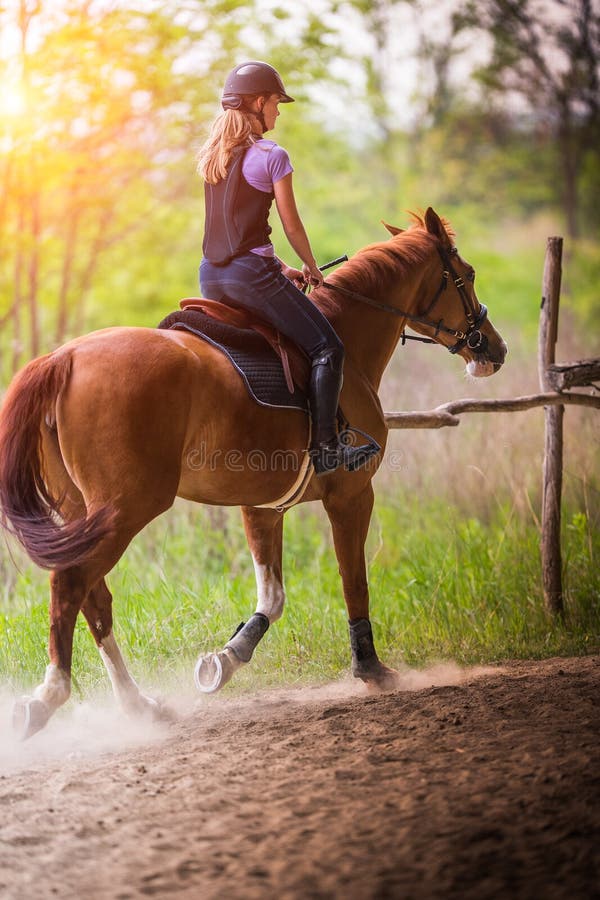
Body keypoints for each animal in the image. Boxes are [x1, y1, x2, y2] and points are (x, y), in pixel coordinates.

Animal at [0, 209, 506, 740]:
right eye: (467, 275)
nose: (495, 348)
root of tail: (64, 358)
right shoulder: (352, 495)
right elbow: (354, 580)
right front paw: (371, 669)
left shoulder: (262, 506)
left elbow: (273, 596)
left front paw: (227, 658)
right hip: (125, 510)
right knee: (70, 586)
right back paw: (46, 699)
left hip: (83, 512)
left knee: (93, 599)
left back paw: (140, 706)